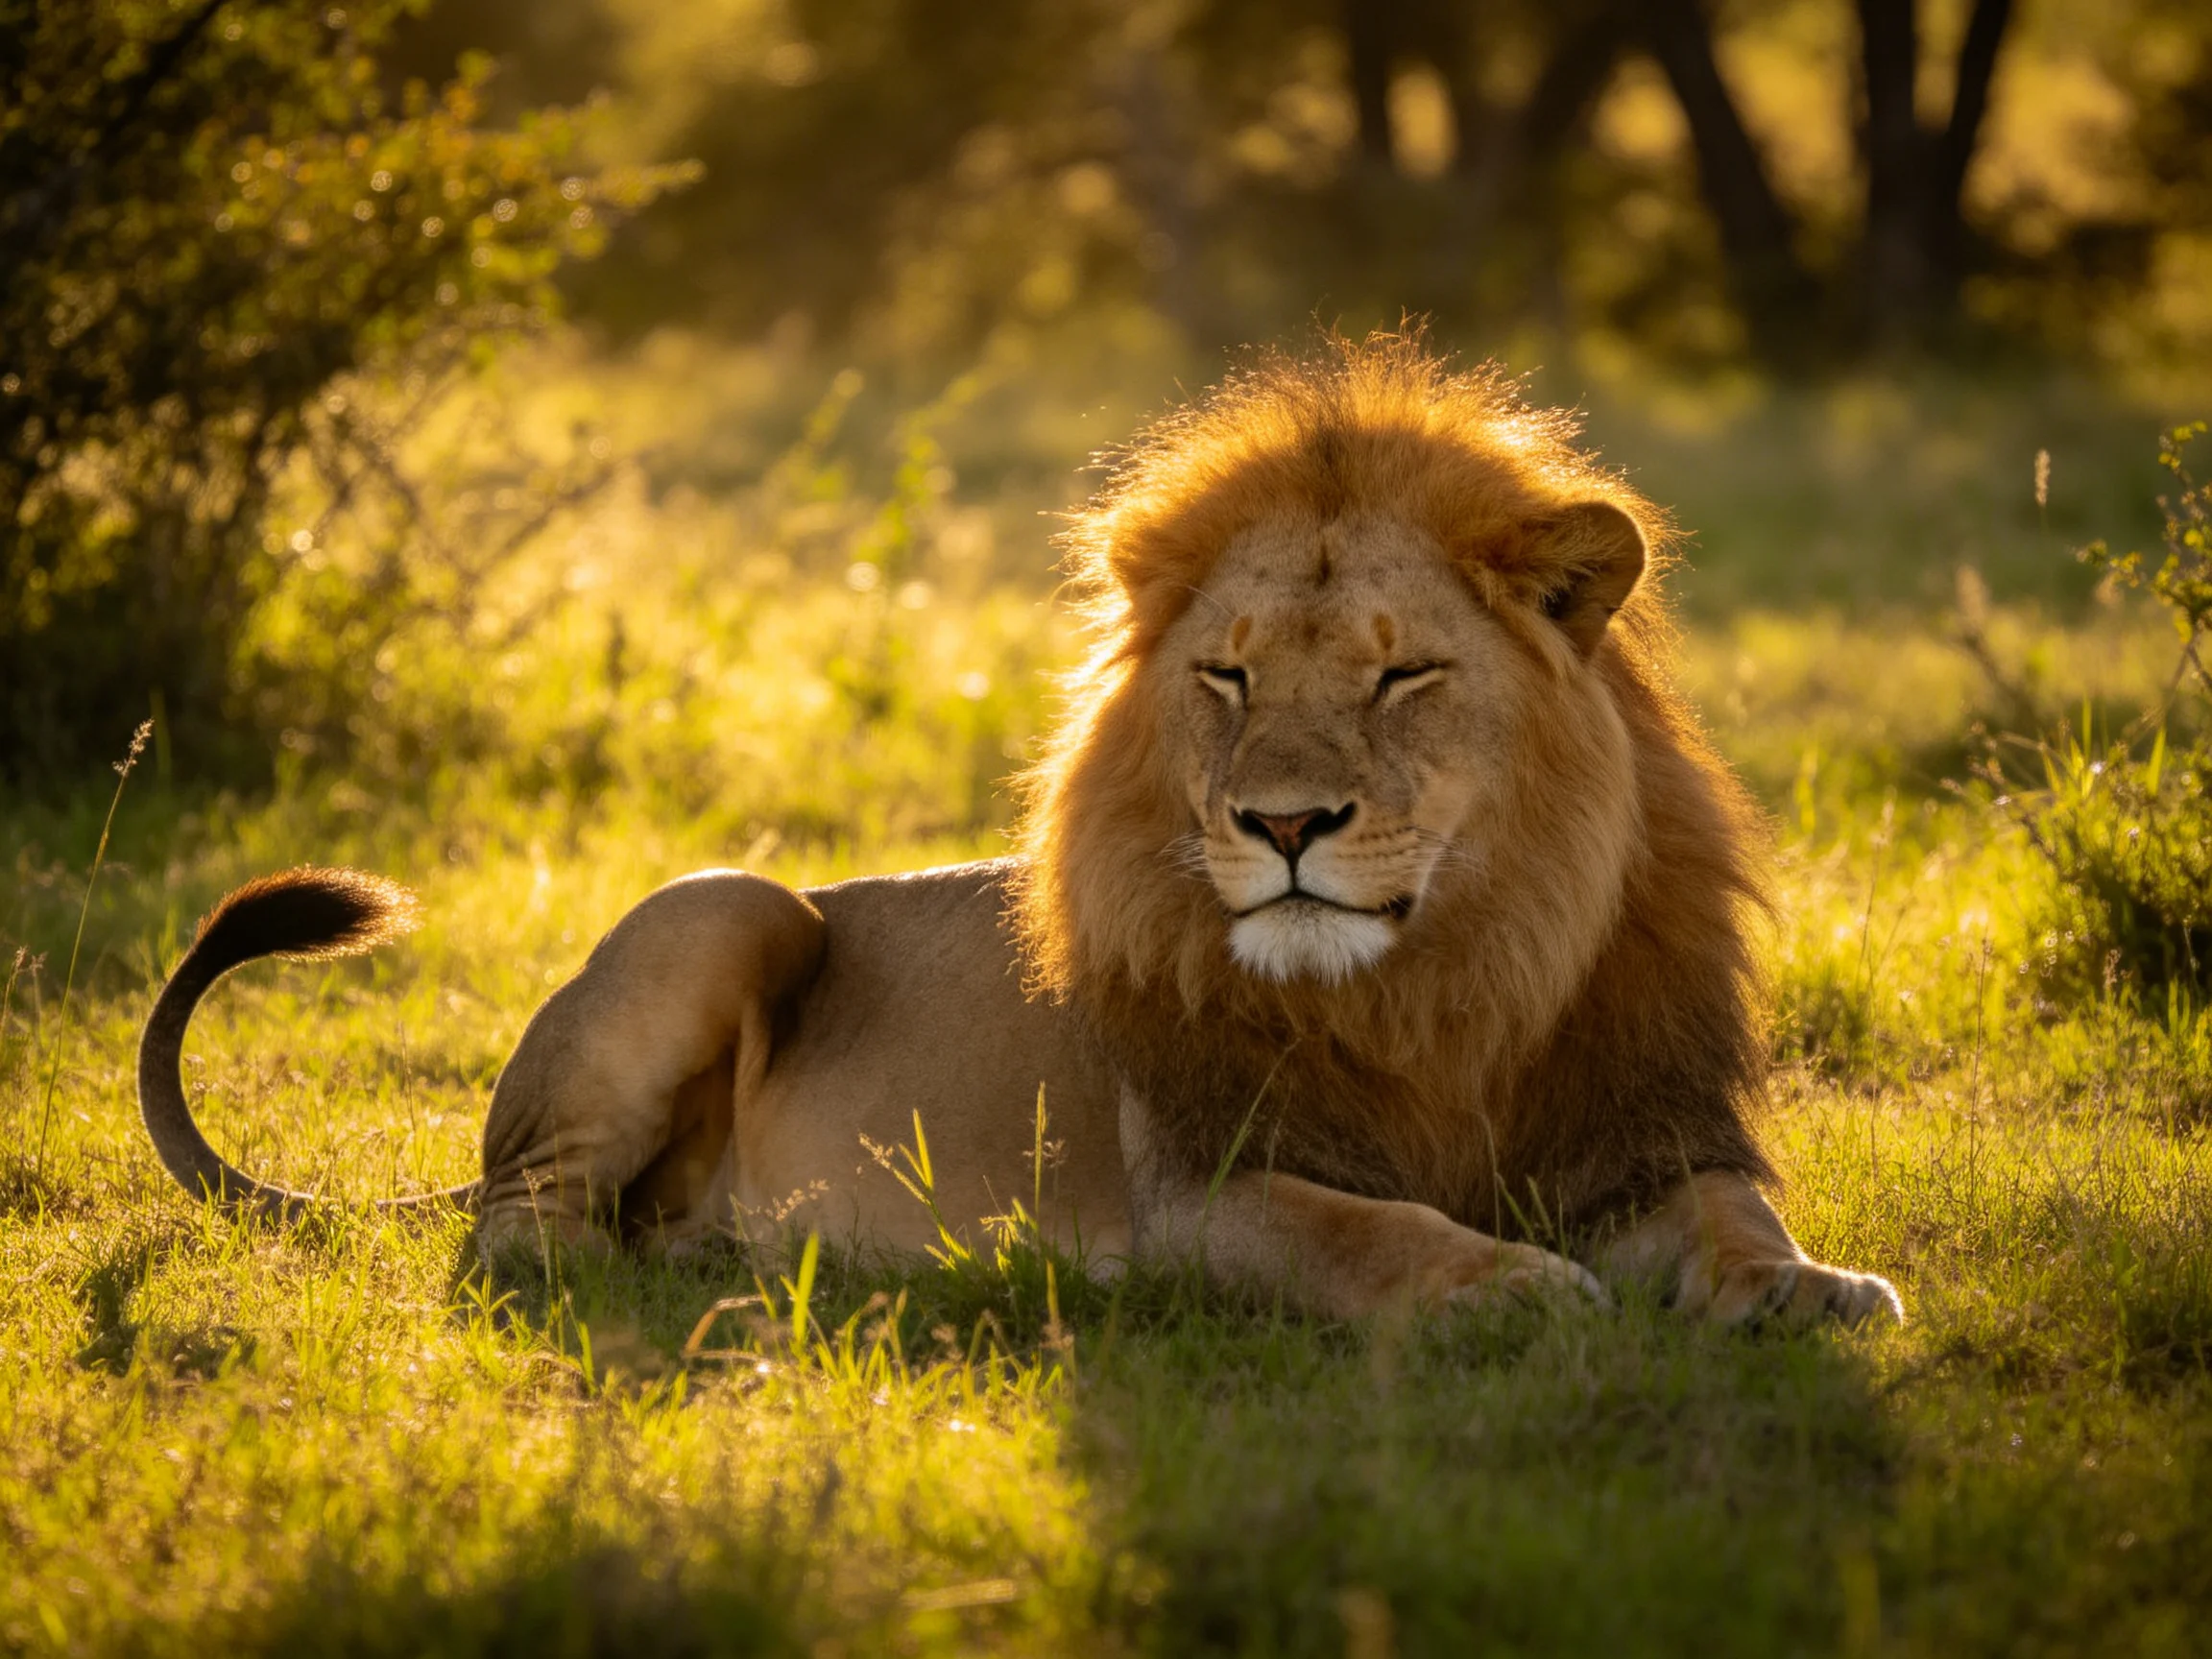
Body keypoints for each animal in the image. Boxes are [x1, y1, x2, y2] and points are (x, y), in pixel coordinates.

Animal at [137, 333, 1901, 1328]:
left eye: (1402, 675)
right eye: (1225, 675)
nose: (1282, 822)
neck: (1441, 982)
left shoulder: (1640, 1135)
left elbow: (1735, 1216)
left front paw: (1804, 1291)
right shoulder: (1212, 1190)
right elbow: (1374, 1230)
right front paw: (1509, 1287)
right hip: (727, 903)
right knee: (520, 1232)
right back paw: (683, 1270)